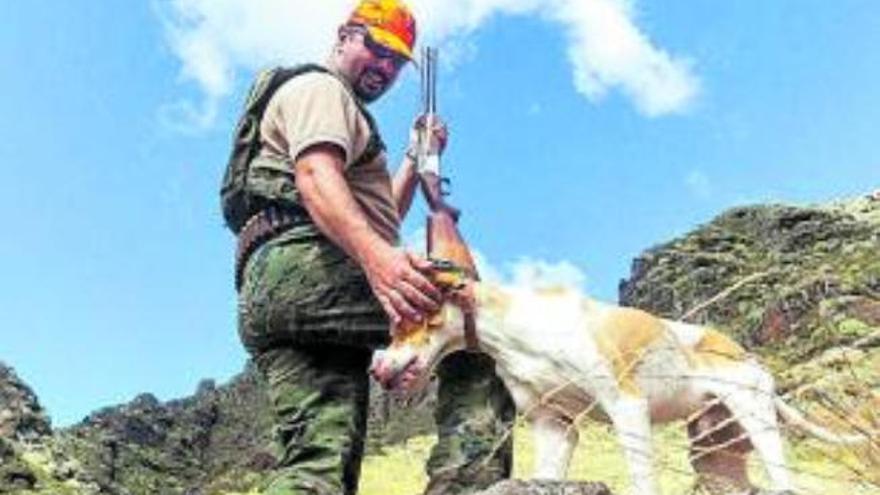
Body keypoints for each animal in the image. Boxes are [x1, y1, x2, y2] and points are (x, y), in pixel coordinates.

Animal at [368, 242, 868, 494]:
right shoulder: (554, 425)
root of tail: (743, 353)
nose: (378, 368)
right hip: (714, 450)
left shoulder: (627, 406)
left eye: (408, 314)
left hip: (756, 420)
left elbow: (642, 479)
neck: (516, 330)